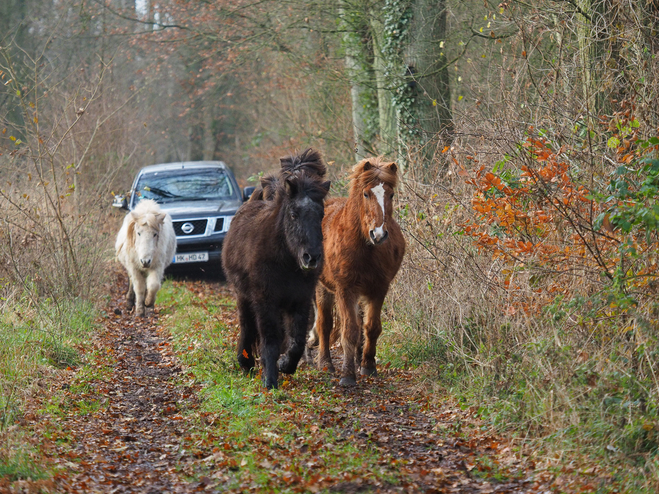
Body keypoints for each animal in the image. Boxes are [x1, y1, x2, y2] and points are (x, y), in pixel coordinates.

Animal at [223, 162, 330, 390]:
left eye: (320, 214)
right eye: (293, 214)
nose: (311, 257)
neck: (285, 261)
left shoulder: (300, 301)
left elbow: (297, 340)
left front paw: (285, 365)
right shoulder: (266, 301)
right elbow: (270, 339)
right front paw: (270, 380)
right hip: (244, 297)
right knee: (247, 326)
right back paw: (245, 361)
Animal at [316, 158, 404, 386]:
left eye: (391, 194)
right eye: (366, 194)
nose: (379, 234)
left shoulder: (378, 289)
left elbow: (371, 327)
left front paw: (368, 366)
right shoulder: (345, 290)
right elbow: (349, 330)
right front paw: (347, 375)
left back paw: (357, 358)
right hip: (323, 288)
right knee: (324, 325)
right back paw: (325, 364)